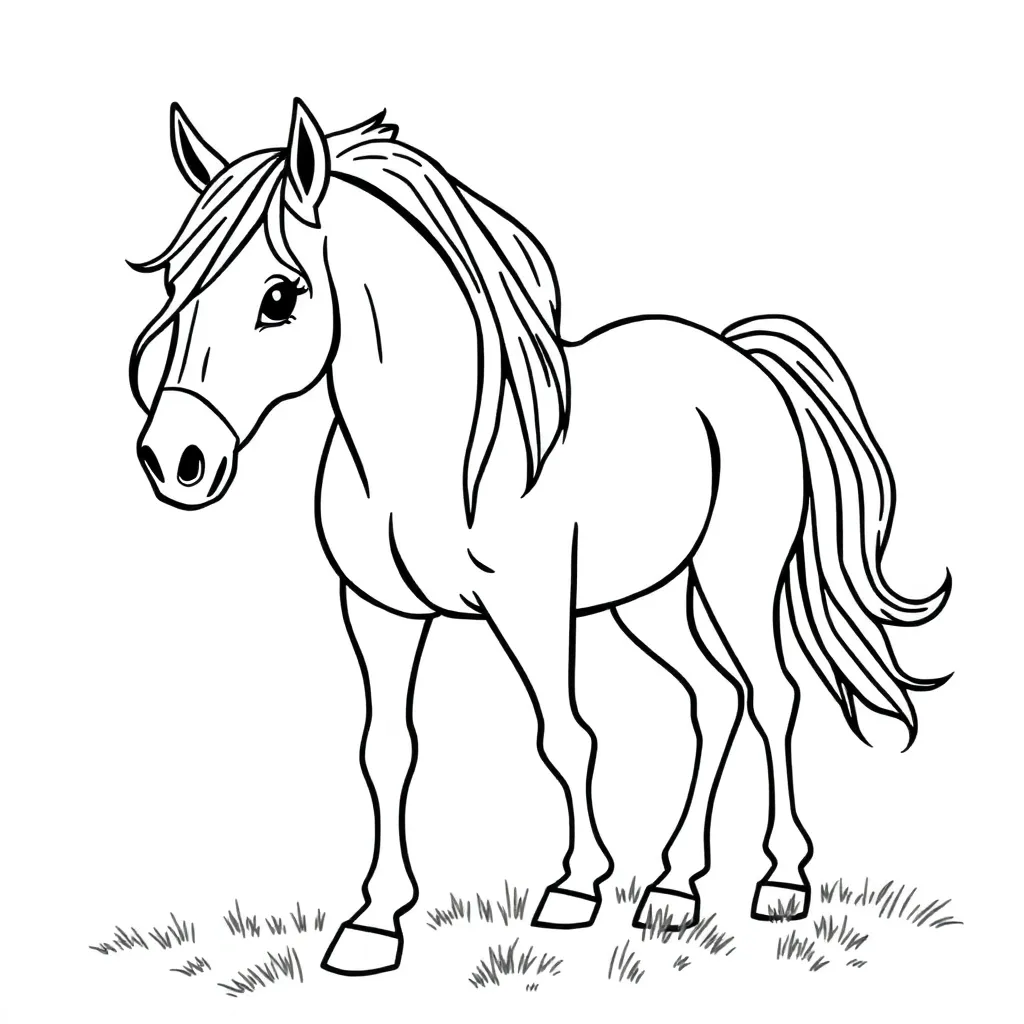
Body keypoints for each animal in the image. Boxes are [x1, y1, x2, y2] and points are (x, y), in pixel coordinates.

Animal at [129, 99, 951, 976]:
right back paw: (673, 889)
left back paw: (782, 880)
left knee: (773, 696)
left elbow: (566, 736)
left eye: (280, 296)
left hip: (736, 580)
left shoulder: (533, 606)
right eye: (176, 285)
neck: (431, 449)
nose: (175, 460)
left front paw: (575, 888)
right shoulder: (379, 613)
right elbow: (386, 751)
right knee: (714, 698)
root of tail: (741, 359)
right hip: (650, 599)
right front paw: (374, 923)